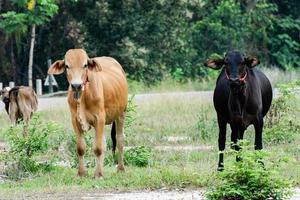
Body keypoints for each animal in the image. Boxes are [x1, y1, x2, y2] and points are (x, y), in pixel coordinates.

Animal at [47, 48, 127, 178]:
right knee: (104, 142)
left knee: (119, 139)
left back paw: (120, 168)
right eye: (67, 66)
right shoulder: (75, 120)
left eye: (85, 65)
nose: (76, 85)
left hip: (121, 113)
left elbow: (98, 148)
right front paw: (82, 173)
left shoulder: (99, 118)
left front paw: (98, 175)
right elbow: (81, 148)